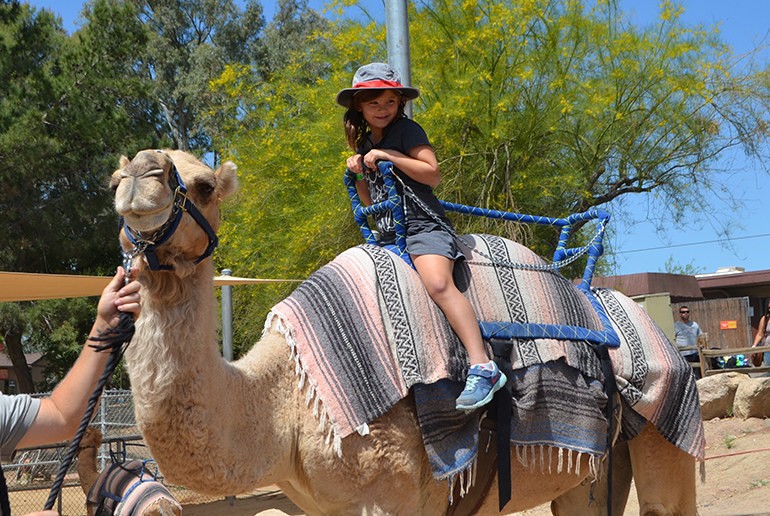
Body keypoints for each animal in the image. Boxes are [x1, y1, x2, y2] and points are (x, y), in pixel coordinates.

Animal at [112, 147, 704, 512]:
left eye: (204, 185)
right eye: (115, 178)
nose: (140, 174)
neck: (290, 400)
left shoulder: (388, 491)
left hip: (669, 415)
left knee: (667, 500)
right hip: (592, 469)